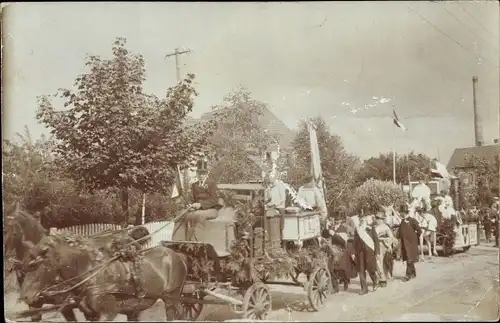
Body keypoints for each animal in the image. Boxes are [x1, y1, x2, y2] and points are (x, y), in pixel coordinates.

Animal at [19, 233, 188, 323]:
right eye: (25, 266)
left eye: (37, 265)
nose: (26, 296)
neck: (90, 272)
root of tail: (177, 255)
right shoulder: (89, 314)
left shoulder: (109, 312)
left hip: (172, 298)